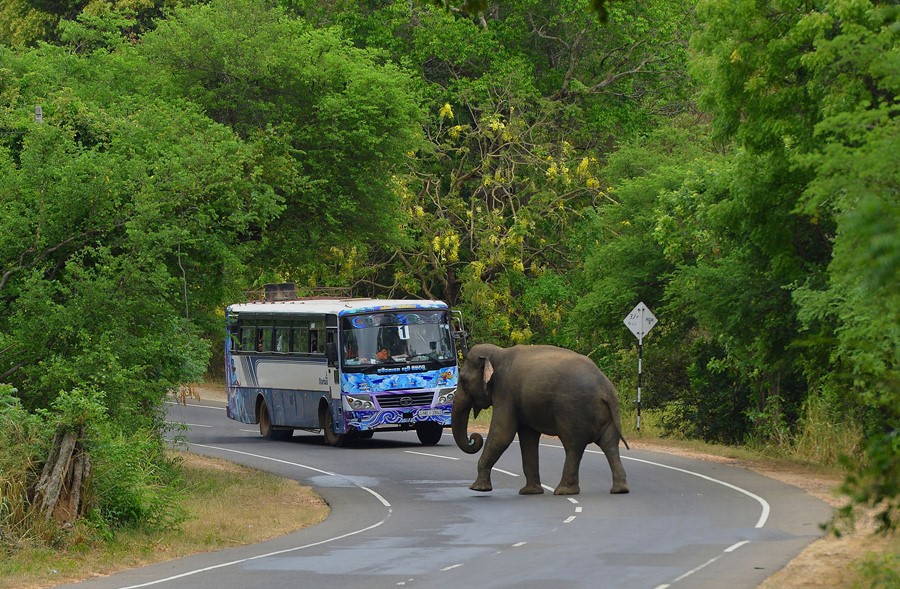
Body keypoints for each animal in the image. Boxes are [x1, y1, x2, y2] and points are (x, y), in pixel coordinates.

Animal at [454, 342, 628, 494]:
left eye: (463, 380)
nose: (473, 437)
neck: (498, 352)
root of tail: (606, 388)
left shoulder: (505, 393)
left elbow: (503, 434)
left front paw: (477, 488)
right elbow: (528, 438)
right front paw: (530, 492)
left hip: (573, 410)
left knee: (573, 446)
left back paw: (563, 491)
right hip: (606, 414)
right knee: (609, 444)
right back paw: (619, 490)